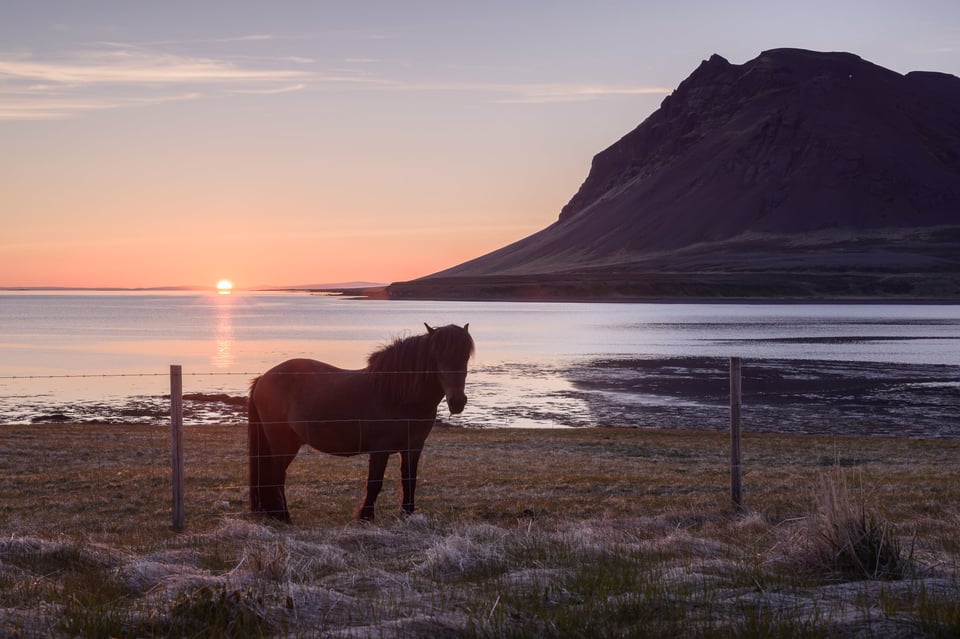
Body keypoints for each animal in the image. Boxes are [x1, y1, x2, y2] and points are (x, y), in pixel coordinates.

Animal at [248, 322, 472, 524]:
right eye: (436, 357)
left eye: (465, 357)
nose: (457, 402)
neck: (397, 395)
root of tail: (262, 378)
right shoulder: (380, 449)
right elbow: (374, 483)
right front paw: (366, 516)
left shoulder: (413, 447)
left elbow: (409, 480)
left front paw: (406, 514)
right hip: (283, 444)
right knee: (277, 476)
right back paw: (285, 517)